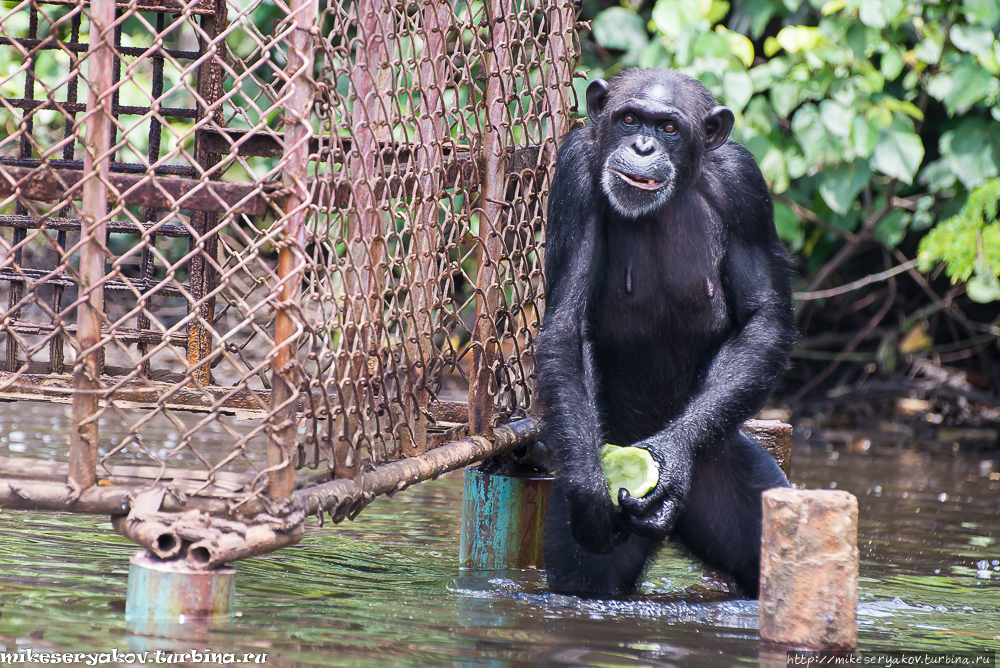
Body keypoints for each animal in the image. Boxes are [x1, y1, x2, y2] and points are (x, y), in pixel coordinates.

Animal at [536, 70, 792, 596]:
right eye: (630, 119)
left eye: (669, 128)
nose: (643, 145)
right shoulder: (573, 174)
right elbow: (568, 323)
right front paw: (592, 493)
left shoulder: (746, 185)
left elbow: (763, 316)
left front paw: (670, 460)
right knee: (586, 581)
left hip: (723, 476)